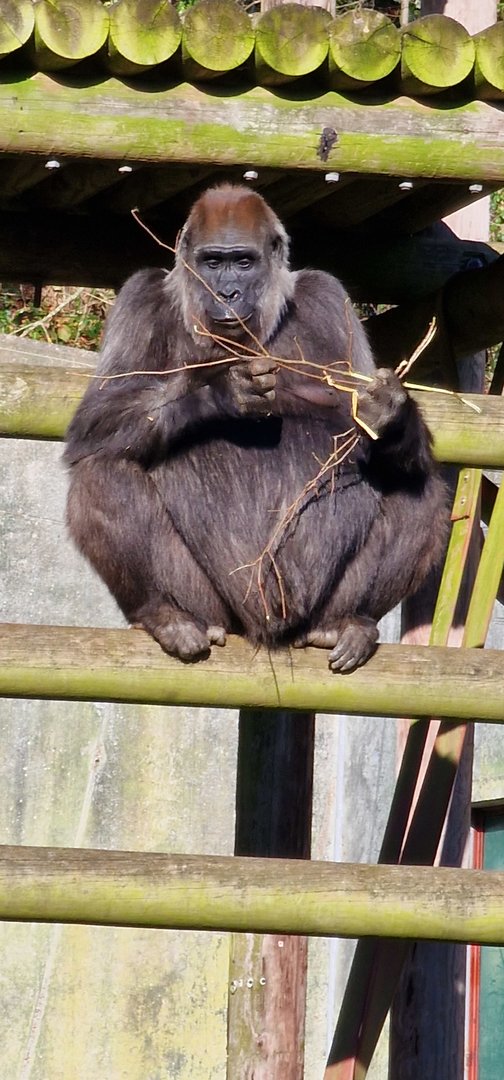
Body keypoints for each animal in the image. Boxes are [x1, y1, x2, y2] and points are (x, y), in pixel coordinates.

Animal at [64, 184, 448, 673]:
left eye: (244, 262)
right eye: (213, 262)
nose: (227, 292)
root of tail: (263, 630)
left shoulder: (328, 297)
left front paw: (391, 412)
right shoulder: (140, 297)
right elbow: (95, 421)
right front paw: (220, 392)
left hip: (313, 612)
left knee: (416, 483)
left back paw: (350, 621)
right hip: (215, 609)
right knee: (104, 469)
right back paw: (166, 614)